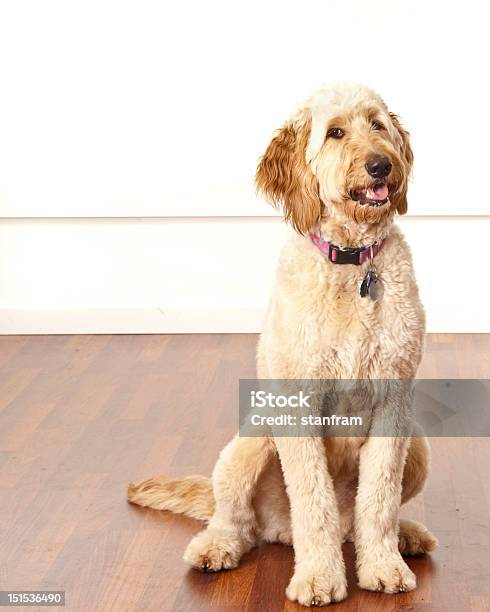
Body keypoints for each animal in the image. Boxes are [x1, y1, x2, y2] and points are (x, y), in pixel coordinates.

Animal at [128, 82, 438, 608]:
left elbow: (379, 499)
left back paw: (406, 535)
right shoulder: (298, 403)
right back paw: (217, 545)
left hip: (416, 443)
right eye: (335, 132)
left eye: (377, 125)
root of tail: (278, 530)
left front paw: (382, 565)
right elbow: (313, 501)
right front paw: (318, 577)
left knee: (363, 518)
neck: (351, 262)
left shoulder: (394, 401)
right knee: (237, 518)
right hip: (252, 438)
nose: (381, 165)